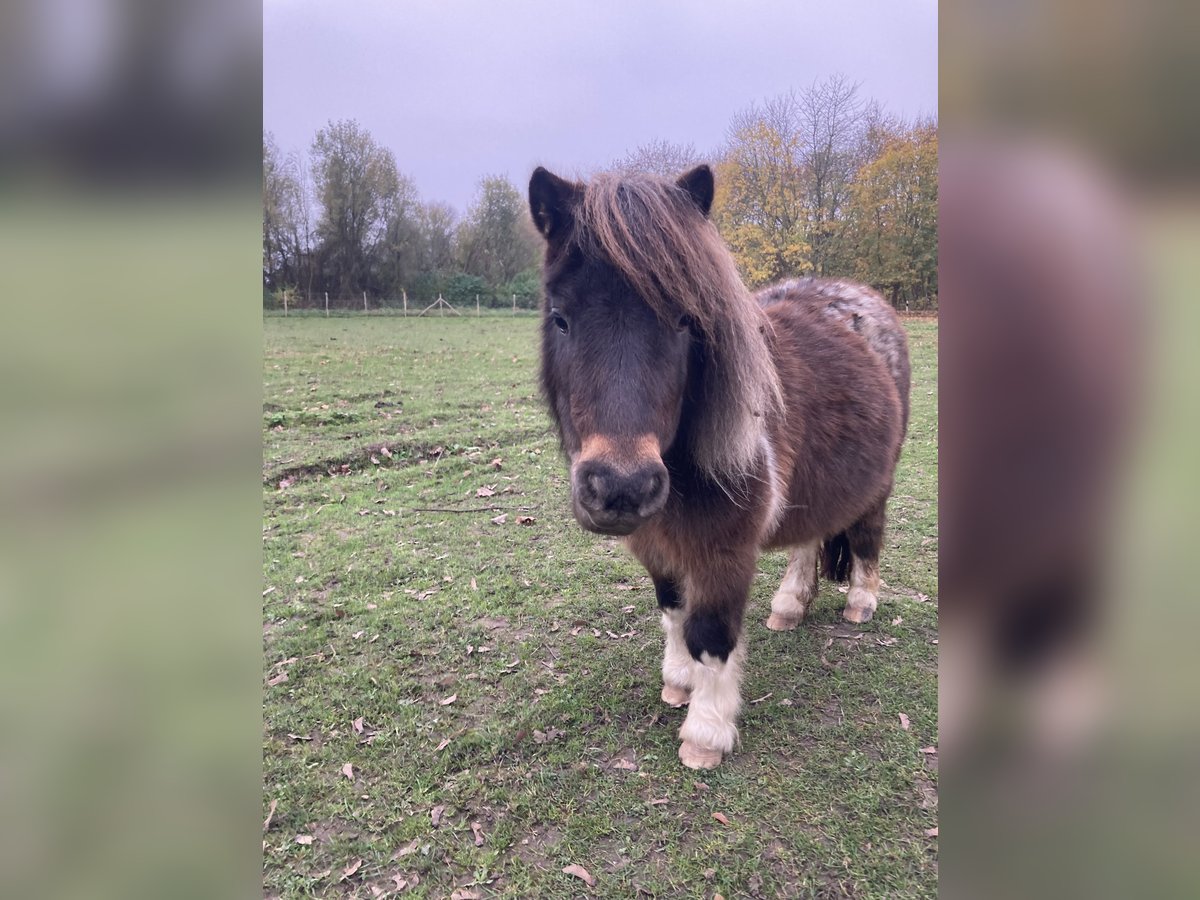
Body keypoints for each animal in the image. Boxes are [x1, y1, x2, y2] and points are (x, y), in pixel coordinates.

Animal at [528, 165, 907, 772]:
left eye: (686, 321)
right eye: (560, 319)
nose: (621, 488)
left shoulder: (724, 552)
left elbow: (709, 634)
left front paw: (705, 734)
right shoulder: (658, 546)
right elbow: (673, 612)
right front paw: (678, 683)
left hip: (878, 484)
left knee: (867, 536)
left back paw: (861, 603)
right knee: (810, 540)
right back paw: (789, 606)